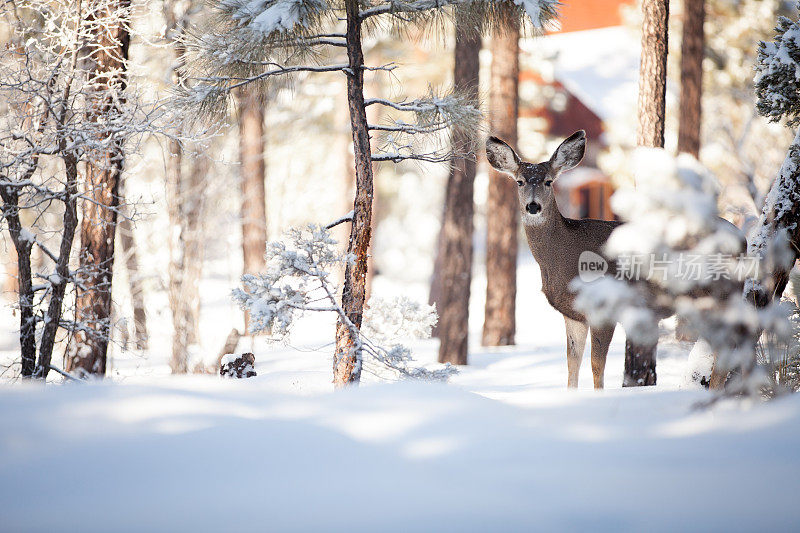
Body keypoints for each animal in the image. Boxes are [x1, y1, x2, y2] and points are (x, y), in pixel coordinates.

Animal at [484, 129, 620, 386]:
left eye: (548, 181)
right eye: (520, 181)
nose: (533, 206)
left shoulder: (605, 306)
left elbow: (597, 366)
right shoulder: (573, 314)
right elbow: (572, 364)